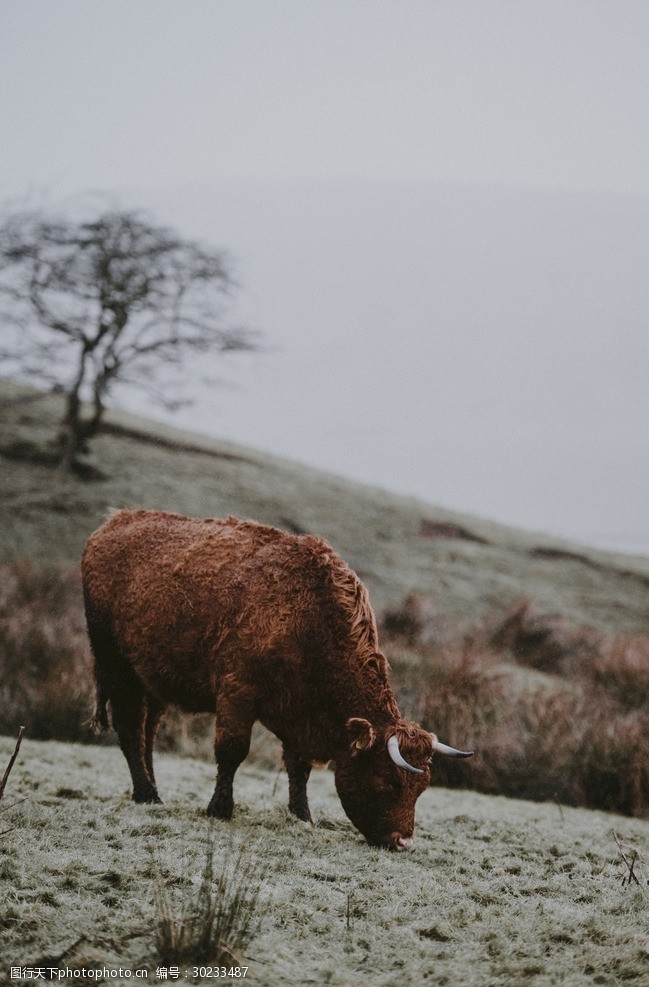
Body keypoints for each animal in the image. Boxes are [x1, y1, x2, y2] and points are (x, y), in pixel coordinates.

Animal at [83, 510, 474, 848]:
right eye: (387, 781)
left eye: (421, 787)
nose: (403, 842)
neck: (308, 616)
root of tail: (113, 523)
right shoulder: (237, 693)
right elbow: (232, 751)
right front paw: (220, 809)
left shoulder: (299, 712)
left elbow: (299, 767)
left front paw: (302, 815)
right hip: (116, 666)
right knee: (129, 728)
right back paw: (146, 794)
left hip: (152, 679)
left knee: (147, 731)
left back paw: (151, 789)